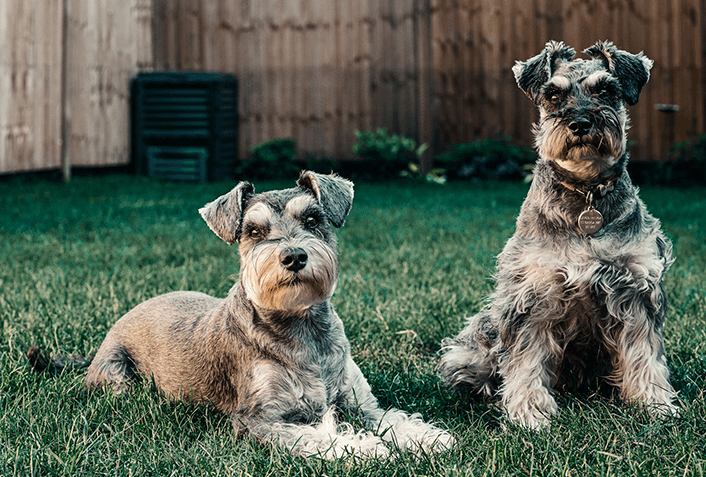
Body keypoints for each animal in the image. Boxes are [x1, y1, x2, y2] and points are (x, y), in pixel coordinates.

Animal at [69, 171, 452, 458]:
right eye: (254, 231)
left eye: (312, 219)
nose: (293, 256)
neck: (303, 328)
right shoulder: (258, 420)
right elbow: (316, 436)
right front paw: (364, 448)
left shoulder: (361, 403)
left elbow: (392, 418)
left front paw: (426, 437)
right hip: (118, 379)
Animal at [440, 41, 676, 428]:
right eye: (553, 95)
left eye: (605, 90)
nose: (580, 123)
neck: (586, 193)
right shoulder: (532, 294)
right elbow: (525, 360)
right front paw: (529, 413)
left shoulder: (635, 290)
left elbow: (645, 354)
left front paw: (655, 404)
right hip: (475, 342)